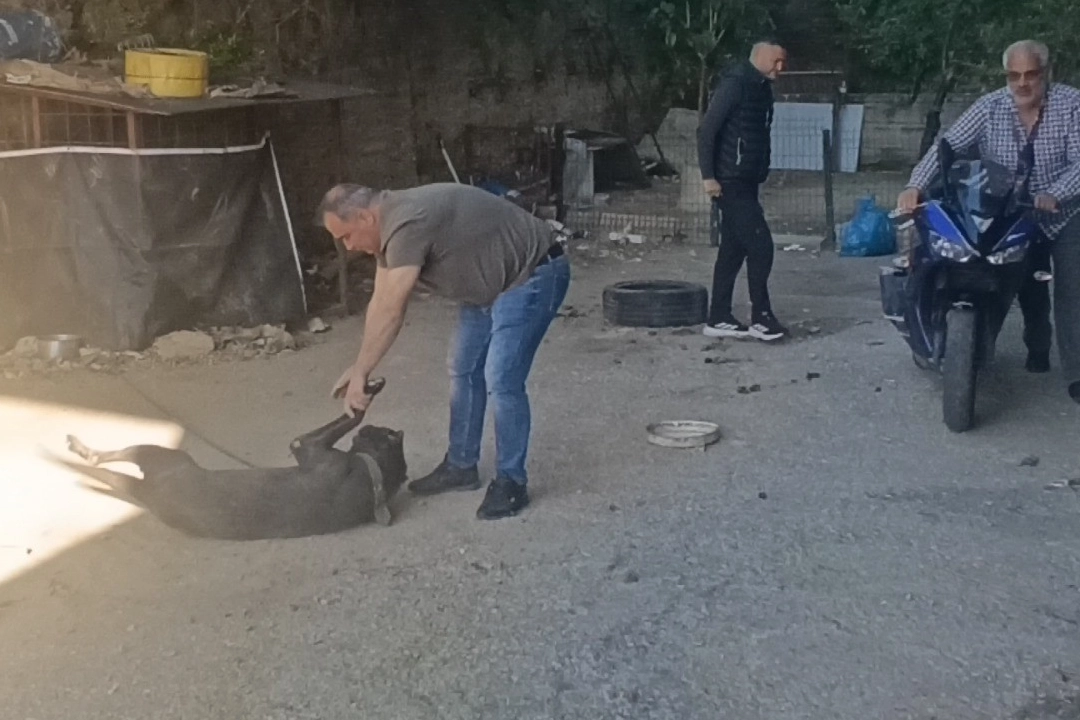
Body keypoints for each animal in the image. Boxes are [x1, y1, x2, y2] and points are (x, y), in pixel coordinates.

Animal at [50, 380, 408, 541]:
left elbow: (352, 416)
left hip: (164, 454)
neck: (373, 480)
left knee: (108, 456)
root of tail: (149, 493)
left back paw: (81, 448)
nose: (377, 429)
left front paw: (366, 394)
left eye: (383, 432)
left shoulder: (306, 444)